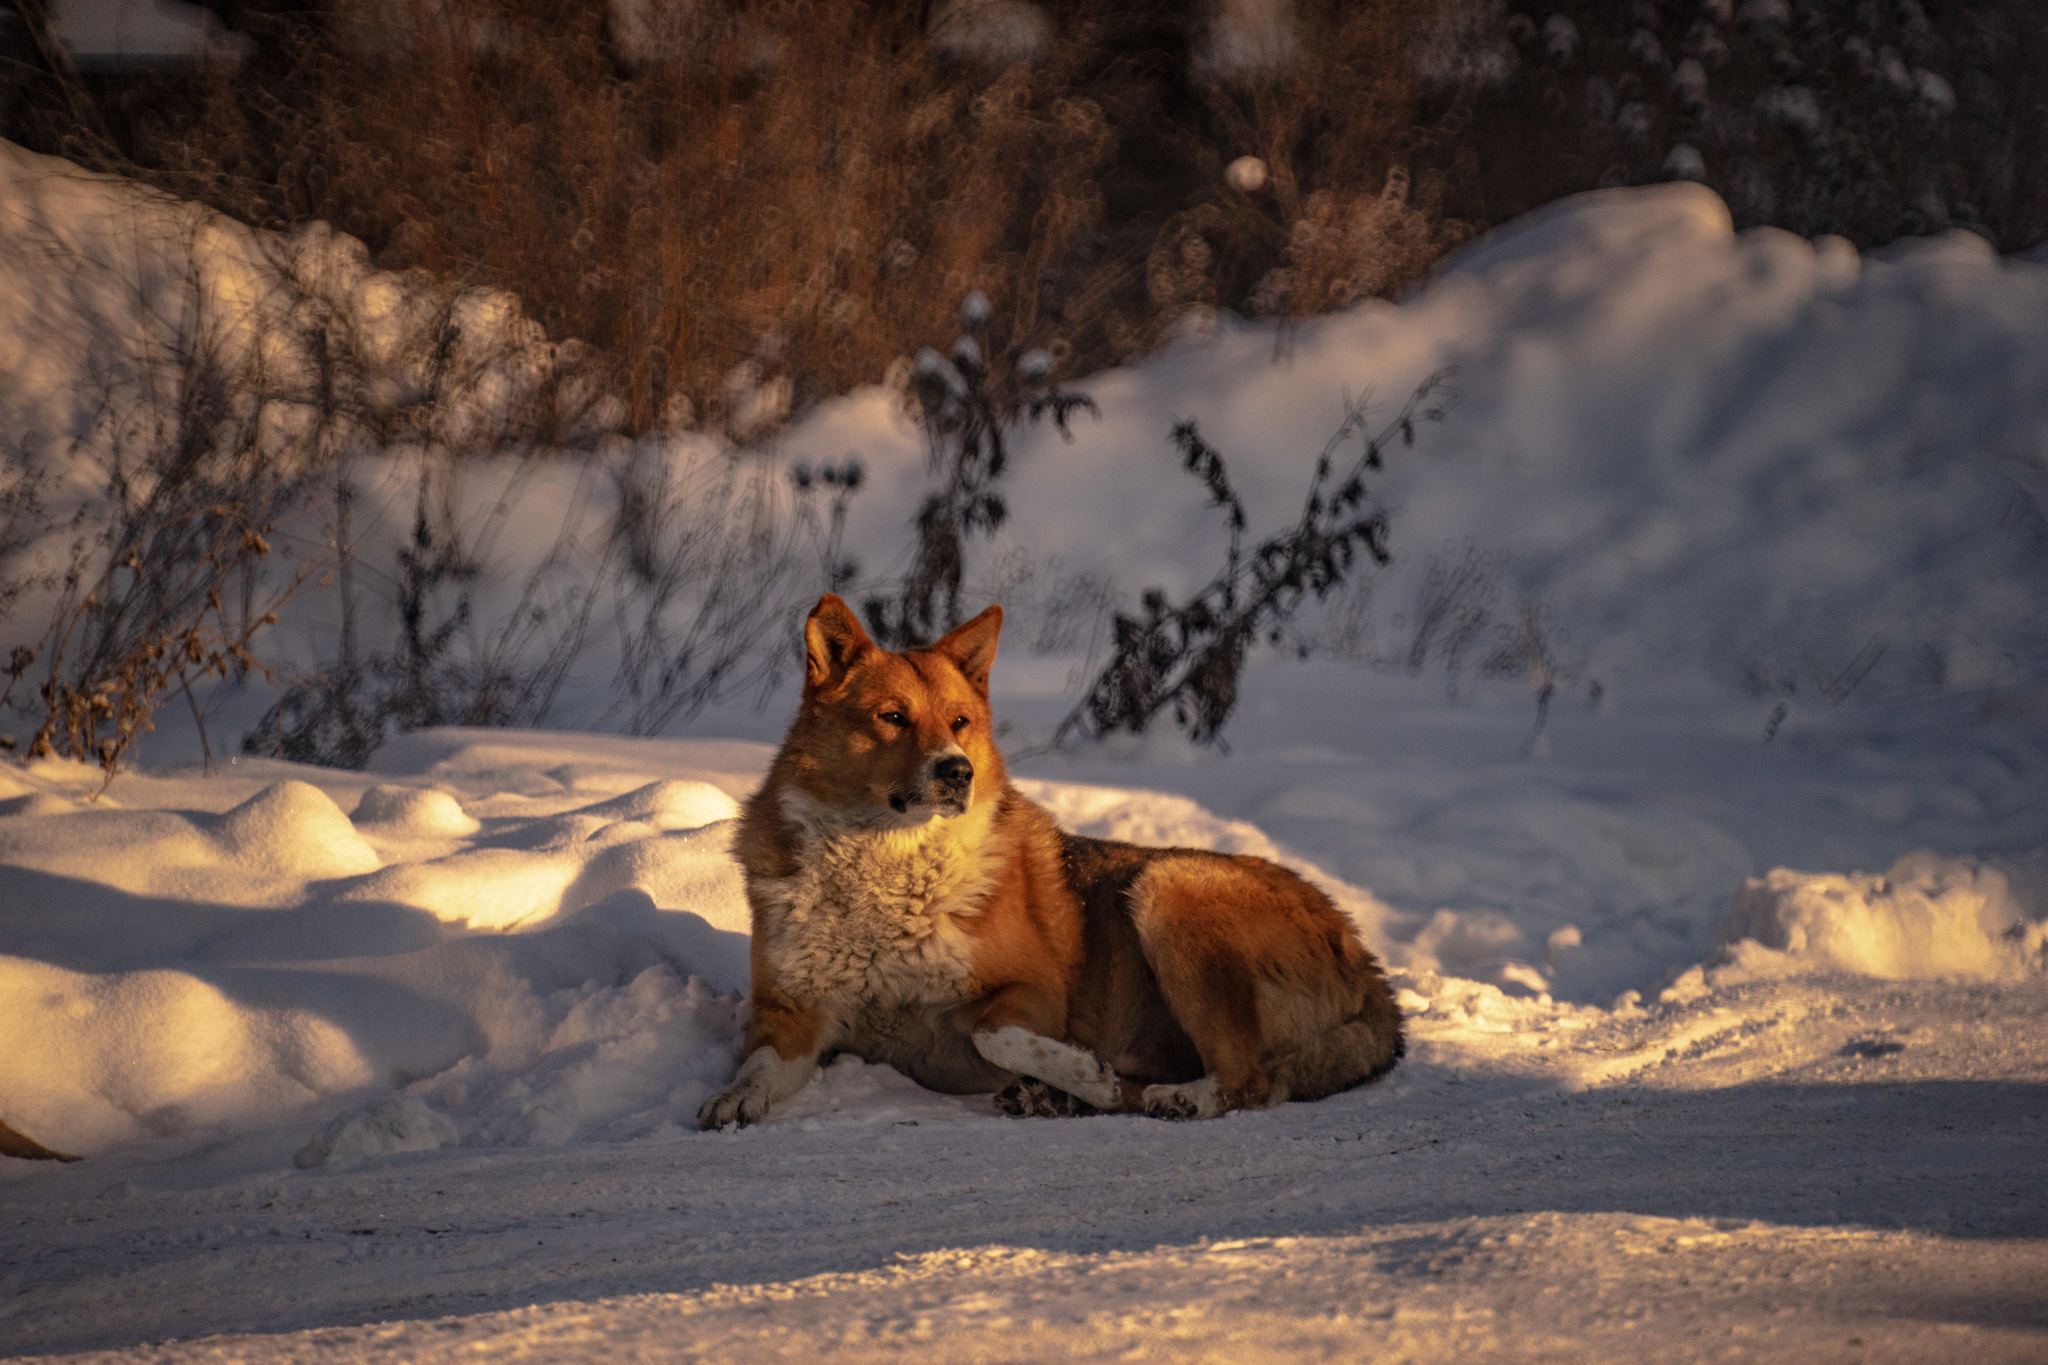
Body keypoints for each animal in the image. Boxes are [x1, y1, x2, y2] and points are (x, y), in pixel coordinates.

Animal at [696, 593, 1400, 1129]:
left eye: (960, 722)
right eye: (892, 717)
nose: (958, 772)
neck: (885, 860)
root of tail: (1359, 952)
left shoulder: (1031, 992)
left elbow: (995, 1032)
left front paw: (1081, 1070)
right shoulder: (790, 1013)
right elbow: (759, 1065)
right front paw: (732, 1098)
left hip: (1166, 889)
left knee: (1247, 1080)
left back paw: (1158, 1098)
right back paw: (1054, 1100)